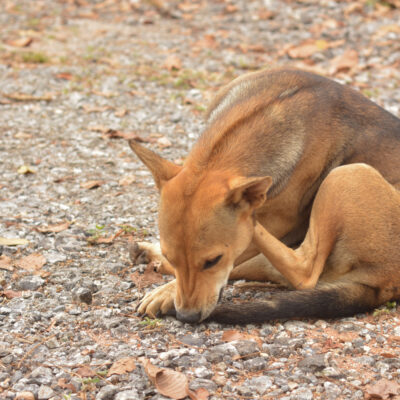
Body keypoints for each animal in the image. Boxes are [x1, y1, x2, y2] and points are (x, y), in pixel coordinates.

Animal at [130, 69, 400, 324]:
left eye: (212, 261)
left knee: (303, 273)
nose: (187, 317)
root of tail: (383, 286)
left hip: (346, 173)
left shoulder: (273, 224)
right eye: (172, 256)